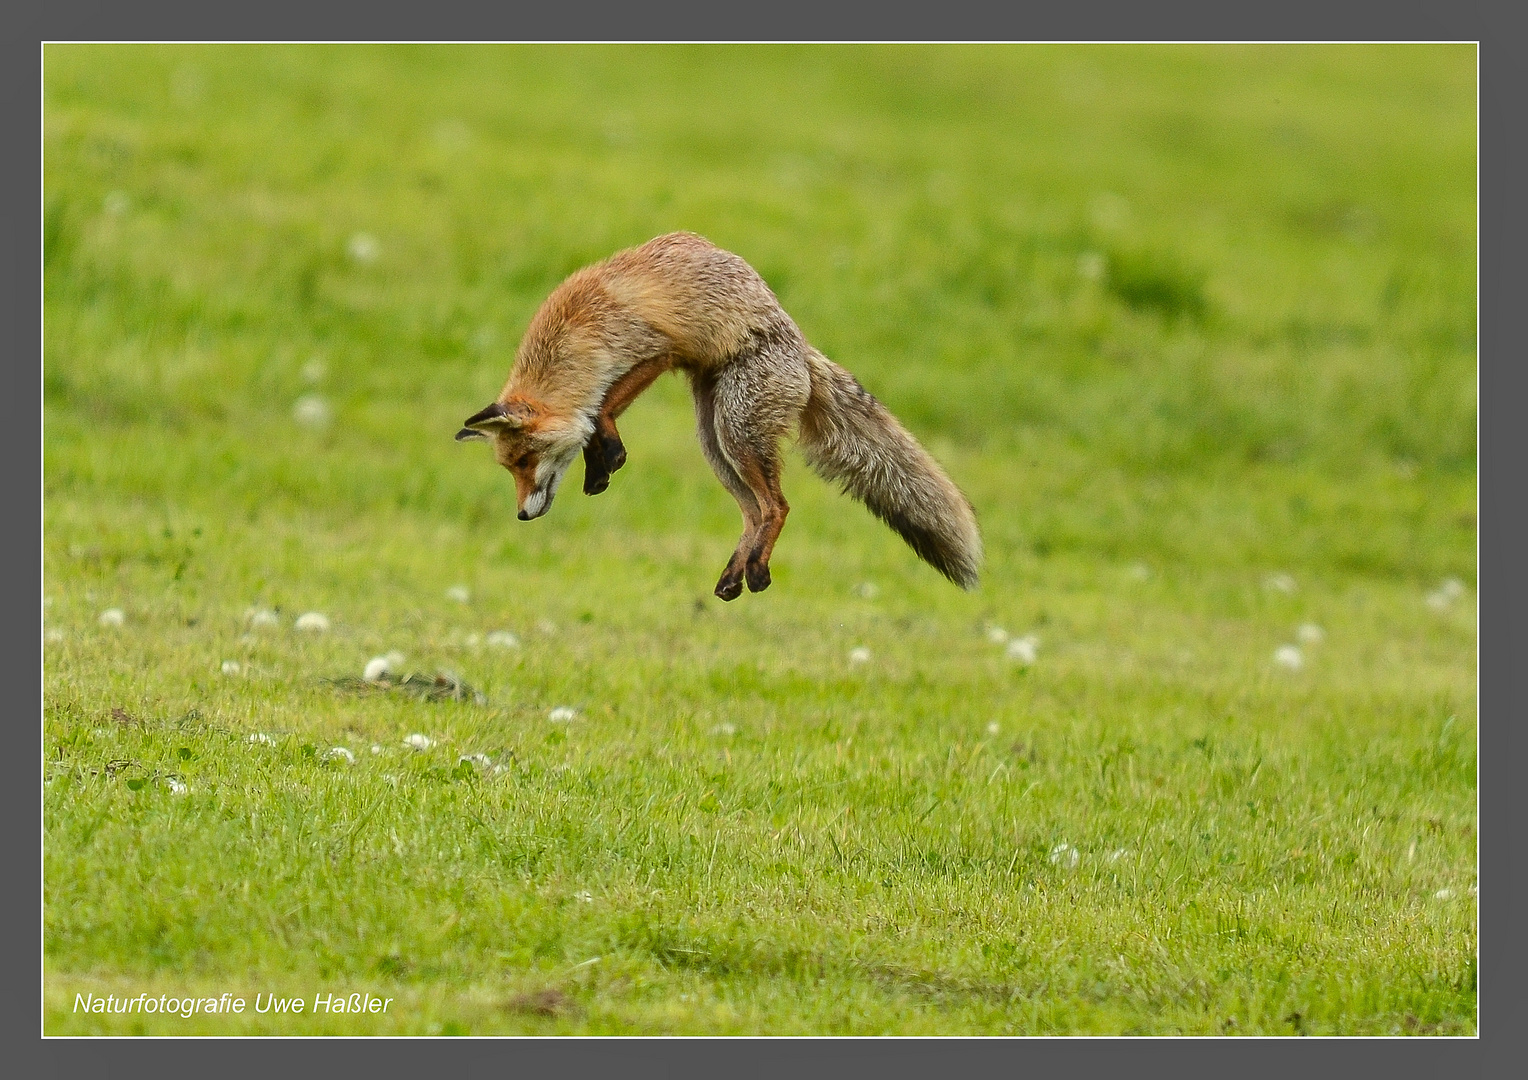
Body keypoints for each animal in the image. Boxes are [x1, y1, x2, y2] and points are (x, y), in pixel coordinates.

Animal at [455, 232, 977, 598]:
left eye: (523, 462)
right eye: (510, 468)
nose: (521, 515)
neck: (578, 334)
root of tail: (802, 349)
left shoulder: (658, 349)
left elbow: (600, 409)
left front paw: (609, 458)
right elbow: (594, 418)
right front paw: (599, 467)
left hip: (737, 431)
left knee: (777, 506)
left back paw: (757, 570)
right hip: (715, 442)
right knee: (753, 512)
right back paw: (733, 576)